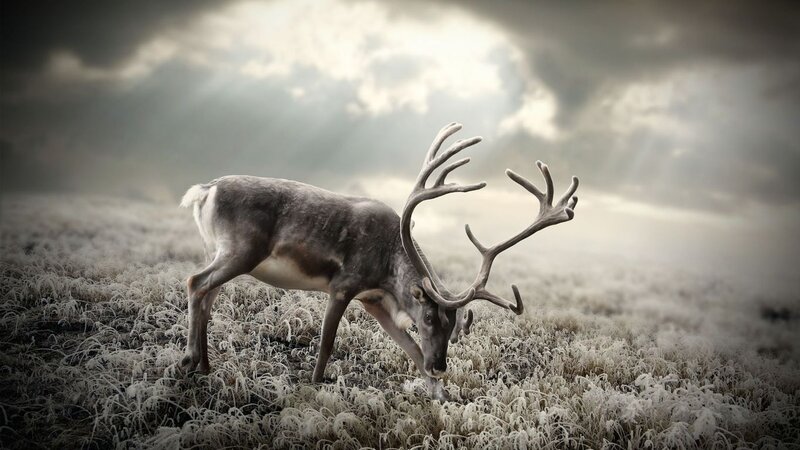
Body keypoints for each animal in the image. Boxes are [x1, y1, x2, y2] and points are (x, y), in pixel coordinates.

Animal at [178, 122, 579, 400]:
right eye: (429, 317)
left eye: (453, 324)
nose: (441, 366)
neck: (388, 270)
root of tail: (204, 191)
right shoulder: (344, 285)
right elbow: (327, 343)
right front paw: (314, 385)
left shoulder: (373, 301)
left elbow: (411, 349)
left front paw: (441, 395)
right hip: (241, 251)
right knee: (196, 282)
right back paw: (188, 360)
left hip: (218, 250)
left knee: (207, 296)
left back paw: (205, 366)